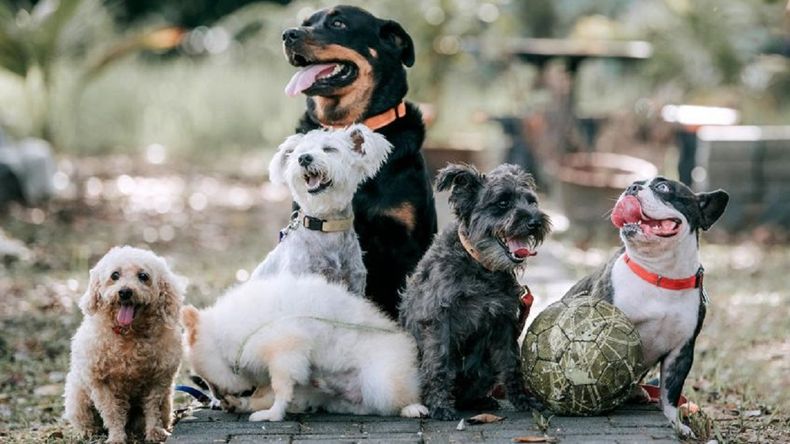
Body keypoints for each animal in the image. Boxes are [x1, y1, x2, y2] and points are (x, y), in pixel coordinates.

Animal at [181, 272, 426, 422]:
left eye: (208, 381)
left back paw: (412, 408)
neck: (228, 332)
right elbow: (268, 393)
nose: (216, 396)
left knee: (395, 399)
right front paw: (242, 403)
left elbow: (280, 391)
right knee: (362, 406)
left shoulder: (284, 351)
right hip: (335, 397)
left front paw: (271, 415)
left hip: (382, 382)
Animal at [402, 163, 552, 420]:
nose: (535, 221)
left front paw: (523, 400)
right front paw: (440, 405)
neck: (480, 265)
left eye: (531, 201)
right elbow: (439, 362)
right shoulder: (438, 319)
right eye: (502, 202)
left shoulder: (504, 322)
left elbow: (511, 363)